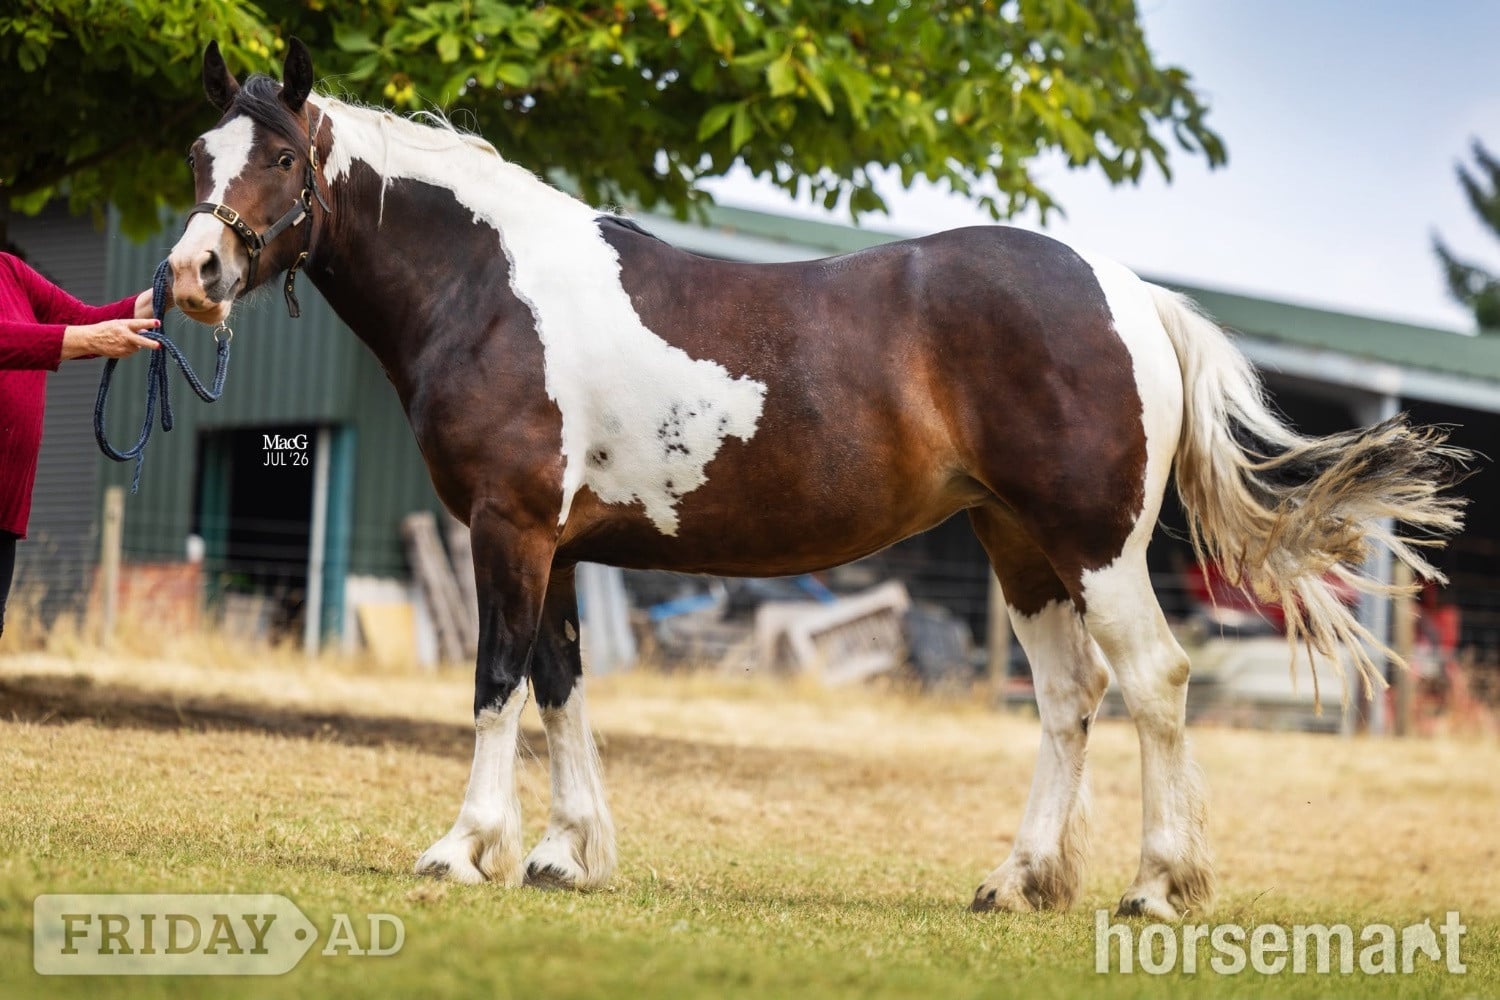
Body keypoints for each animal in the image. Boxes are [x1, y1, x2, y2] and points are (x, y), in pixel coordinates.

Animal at [167, 40, 1466, 919]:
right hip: (1020, 550)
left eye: (280, 156)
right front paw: (566, 854)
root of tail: (1131, 295)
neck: (491, 286)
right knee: (1067, 699)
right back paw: (1018, 878)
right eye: (196, 154)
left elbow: (496, 681)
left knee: (1155, 681)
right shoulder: (560, 546)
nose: (192, 273)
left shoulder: (512, 529)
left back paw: (1155, 886)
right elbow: (561, 687)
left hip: (1093, 549)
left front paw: (464, 846)